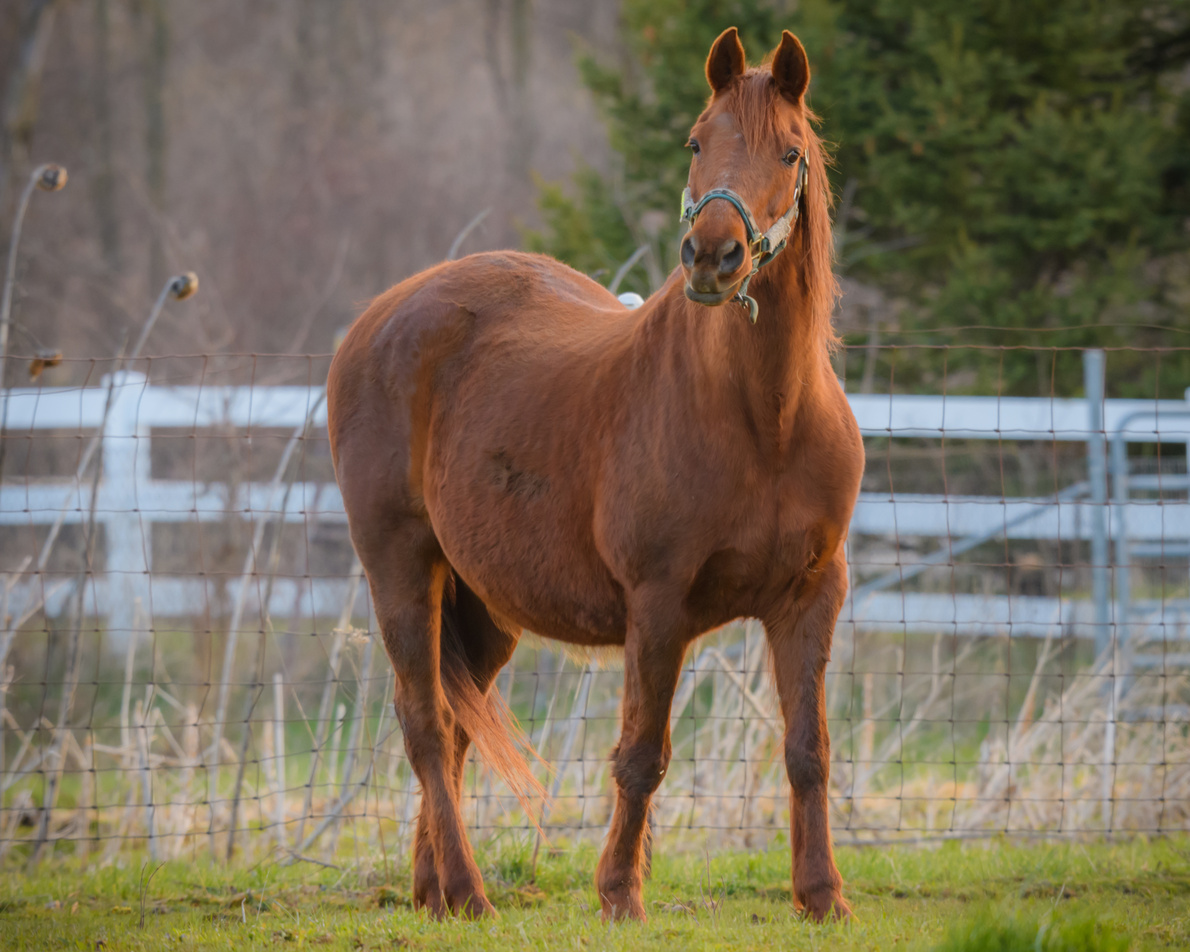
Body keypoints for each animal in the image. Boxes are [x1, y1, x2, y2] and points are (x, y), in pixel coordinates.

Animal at [326, 27, 866, 923]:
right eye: (695, 141)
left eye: (790, 152)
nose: (712, 257)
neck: (767, 420)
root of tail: (380, 316)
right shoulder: (658, 605)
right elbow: (641, 754)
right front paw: (619, 894)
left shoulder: (809, 597)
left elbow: (808, 749)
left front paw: (822, 897)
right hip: (401, 567)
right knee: (425, 724)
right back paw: (468, 891)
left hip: (485, 601)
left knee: (455, 725)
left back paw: (432, 888)